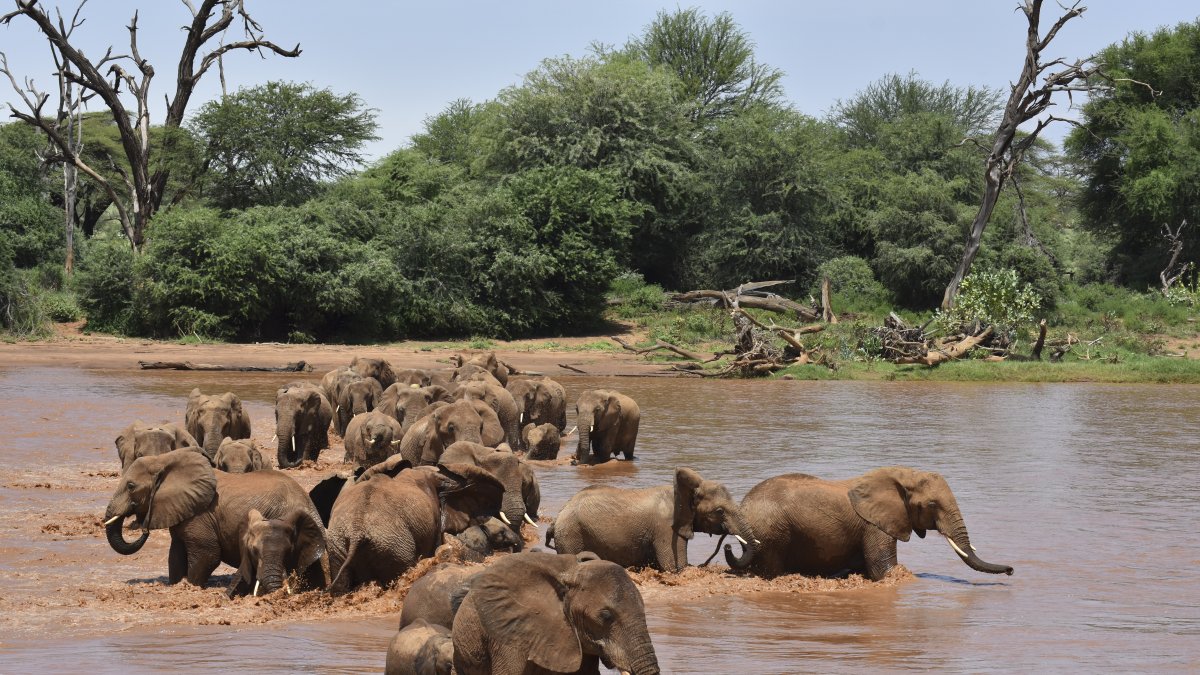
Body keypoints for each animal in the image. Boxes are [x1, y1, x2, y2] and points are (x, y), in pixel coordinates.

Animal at [103, 449, 329, 589]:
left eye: (131, 486)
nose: (141, 526)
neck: (165, 460)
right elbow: (175, 555)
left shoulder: (201, 515)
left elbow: (207, 555)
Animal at [547, 467, 757, 573]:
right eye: (720, 511)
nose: (727, 545)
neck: (681, 494)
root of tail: (558, 517)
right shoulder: (666, 530)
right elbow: (675, 568)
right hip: (571, 535)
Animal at [725, 467, 1015, 580]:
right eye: (932, 505)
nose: (1012, 570)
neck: (902, 475)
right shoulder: (875, 526)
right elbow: (883, 570)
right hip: (772, 531)